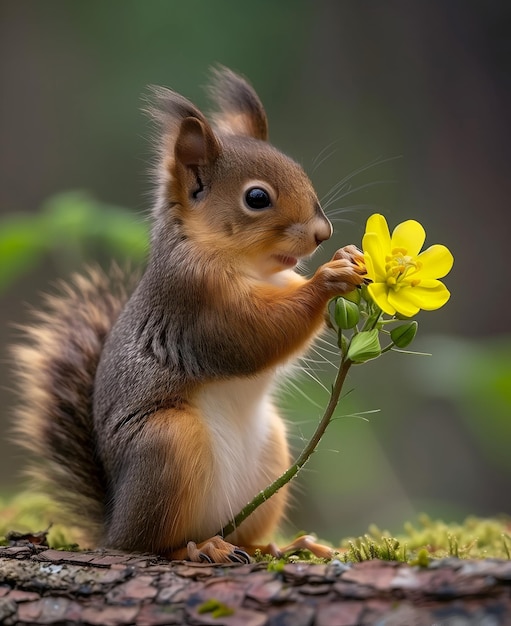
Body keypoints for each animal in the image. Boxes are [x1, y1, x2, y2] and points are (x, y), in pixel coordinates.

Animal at [11, 67, 364, 560]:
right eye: (257, 198)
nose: (322, 233)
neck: (242, 263)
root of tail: (113, 524)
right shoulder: (195, 304)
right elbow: (254, 335)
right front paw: (327, 280)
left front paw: (348, 258)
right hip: (168, 447)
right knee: (151, 545)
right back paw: (199, 550)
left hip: (269, 453)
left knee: (242, 534)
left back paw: (283, 546)